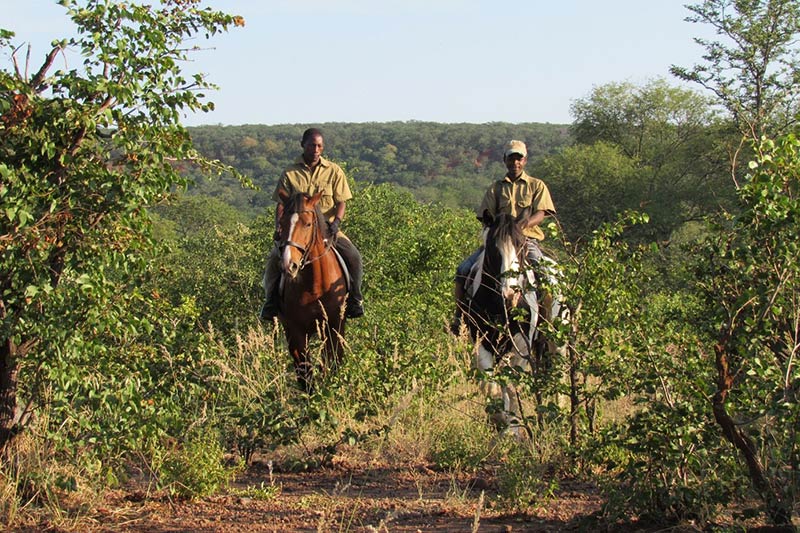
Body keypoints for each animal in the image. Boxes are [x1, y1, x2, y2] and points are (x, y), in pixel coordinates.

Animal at [276, 189, 348, 388]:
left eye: (308, 224)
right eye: (282, 223)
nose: (289, 265)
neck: (314, 286)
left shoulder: (333, 325)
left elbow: (331, 363)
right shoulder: (295, 330)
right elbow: (305, 373)